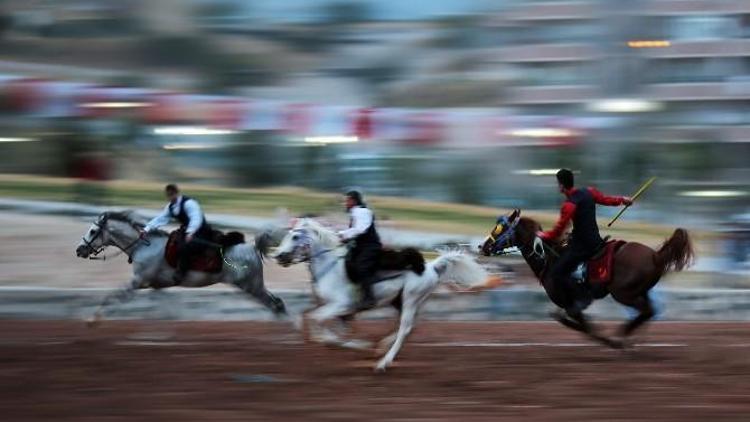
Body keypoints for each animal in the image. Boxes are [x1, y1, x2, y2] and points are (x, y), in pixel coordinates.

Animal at [75, 211, 288, 326]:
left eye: (93, 231)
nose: (79, 249)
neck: (143, 247)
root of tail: (253, 247)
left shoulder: (137, 282)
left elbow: (112, 296)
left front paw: (92, 320)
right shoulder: (156, 286)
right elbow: (169, 309)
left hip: (251, 287)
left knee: (275, 305)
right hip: (254, 286)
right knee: (277, 304)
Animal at [274, 219, 500, 370]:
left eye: (295, 236)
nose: (278, 256)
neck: (330, 267)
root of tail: (432, 267)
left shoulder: (341, 306)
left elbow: (315, 319)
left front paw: (346, 343)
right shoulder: (342, 312)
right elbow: (326, 325)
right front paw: (356, 345)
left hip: (410, 299)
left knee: (405, 328)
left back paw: (383, 362)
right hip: (404, 302)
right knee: (409, 326)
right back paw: (380, 348)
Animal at [484, 210, 696, 346]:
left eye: (499, 229)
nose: (483, 246)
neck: (550, 258)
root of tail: (655, 255)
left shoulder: (572, 303)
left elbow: (576, 322)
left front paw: (605, 337)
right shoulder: (572, 304)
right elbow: (566, 319)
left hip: (623, 294)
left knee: (645, 311)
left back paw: (622, 337)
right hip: (640, 291)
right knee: (650, 311)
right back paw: (629, 337)